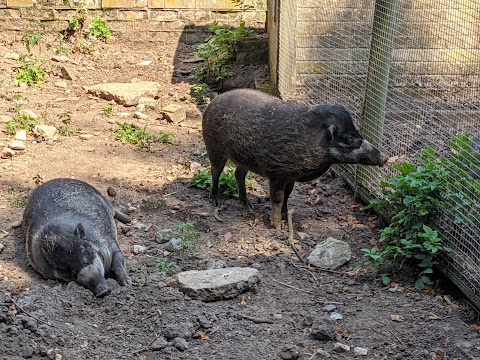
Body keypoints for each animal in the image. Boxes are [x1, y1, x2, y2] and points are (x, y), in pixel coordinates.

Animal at [201, 88, 388, 229]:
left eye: (357, 133)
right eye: (349, 139)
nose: (385, 158)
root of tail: (213, 102)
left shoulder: (291, 177)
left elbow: (288, 196)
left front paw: (286, 217)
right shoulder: (277, 173)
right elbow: (277, 199)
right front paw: (277, 227)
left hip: (243, 159)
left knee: (238, 174)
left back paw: (249, 206)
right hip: (213, 147)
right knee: (215, 171)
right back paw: (214, 201)